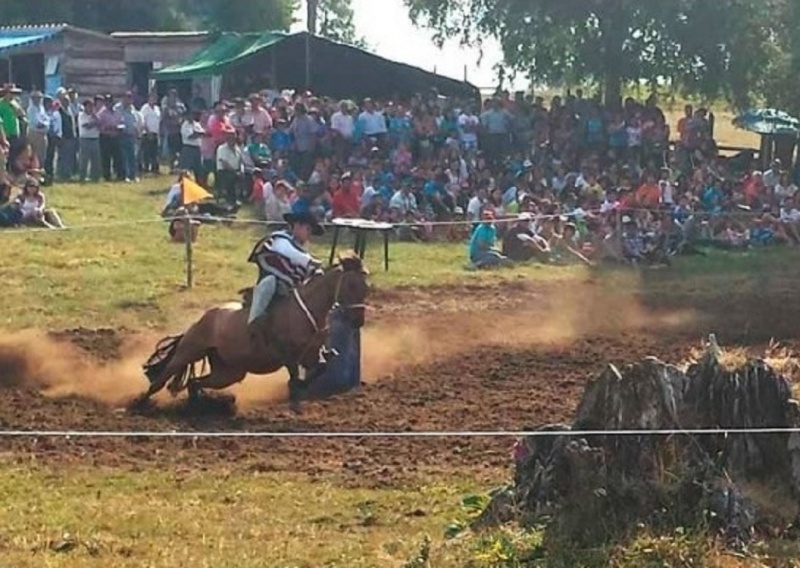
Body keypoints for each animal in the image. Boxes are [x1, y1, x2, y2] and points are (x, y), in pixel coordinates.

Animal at [138, 255, 372, 410]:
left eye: (366, 288)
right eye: (351, 285)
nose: (357, 320)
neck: (305, 309)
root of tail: (203, 319)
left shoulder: (311, 354)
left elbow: (321, 367)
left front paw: (301, 387)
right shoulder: (288, 354)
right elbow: (295, 373)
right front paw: (294, 393)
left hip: (229, 372)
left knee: (194, 383)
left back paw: (201, 405)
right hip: (189, 351)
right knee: (161, 379)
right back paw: (140, 403)